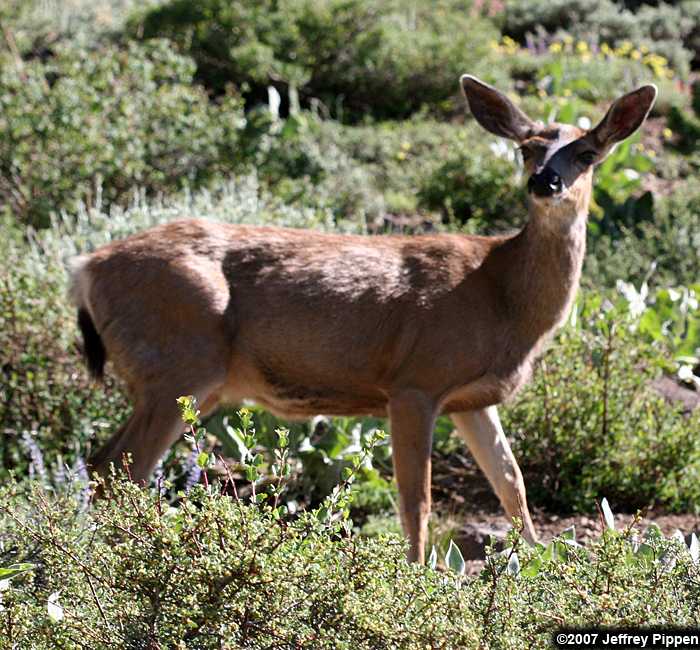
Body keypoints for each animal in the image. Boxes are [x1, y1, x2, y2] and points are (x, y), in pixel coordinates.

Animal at [71, 75, 657, 563]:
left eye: (587, 152)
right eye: (527, 148)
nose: (545, 182)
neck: (501, 297)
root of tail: (85, 267)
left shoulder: (471, 399)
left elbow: (512, 485)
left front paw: (540, 568)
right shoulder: (416, 381)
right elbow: (416, 501)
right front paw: (418, 580)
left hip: (184, 381)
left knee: (105, 466)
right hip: (179, 363)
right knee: (117, 470)